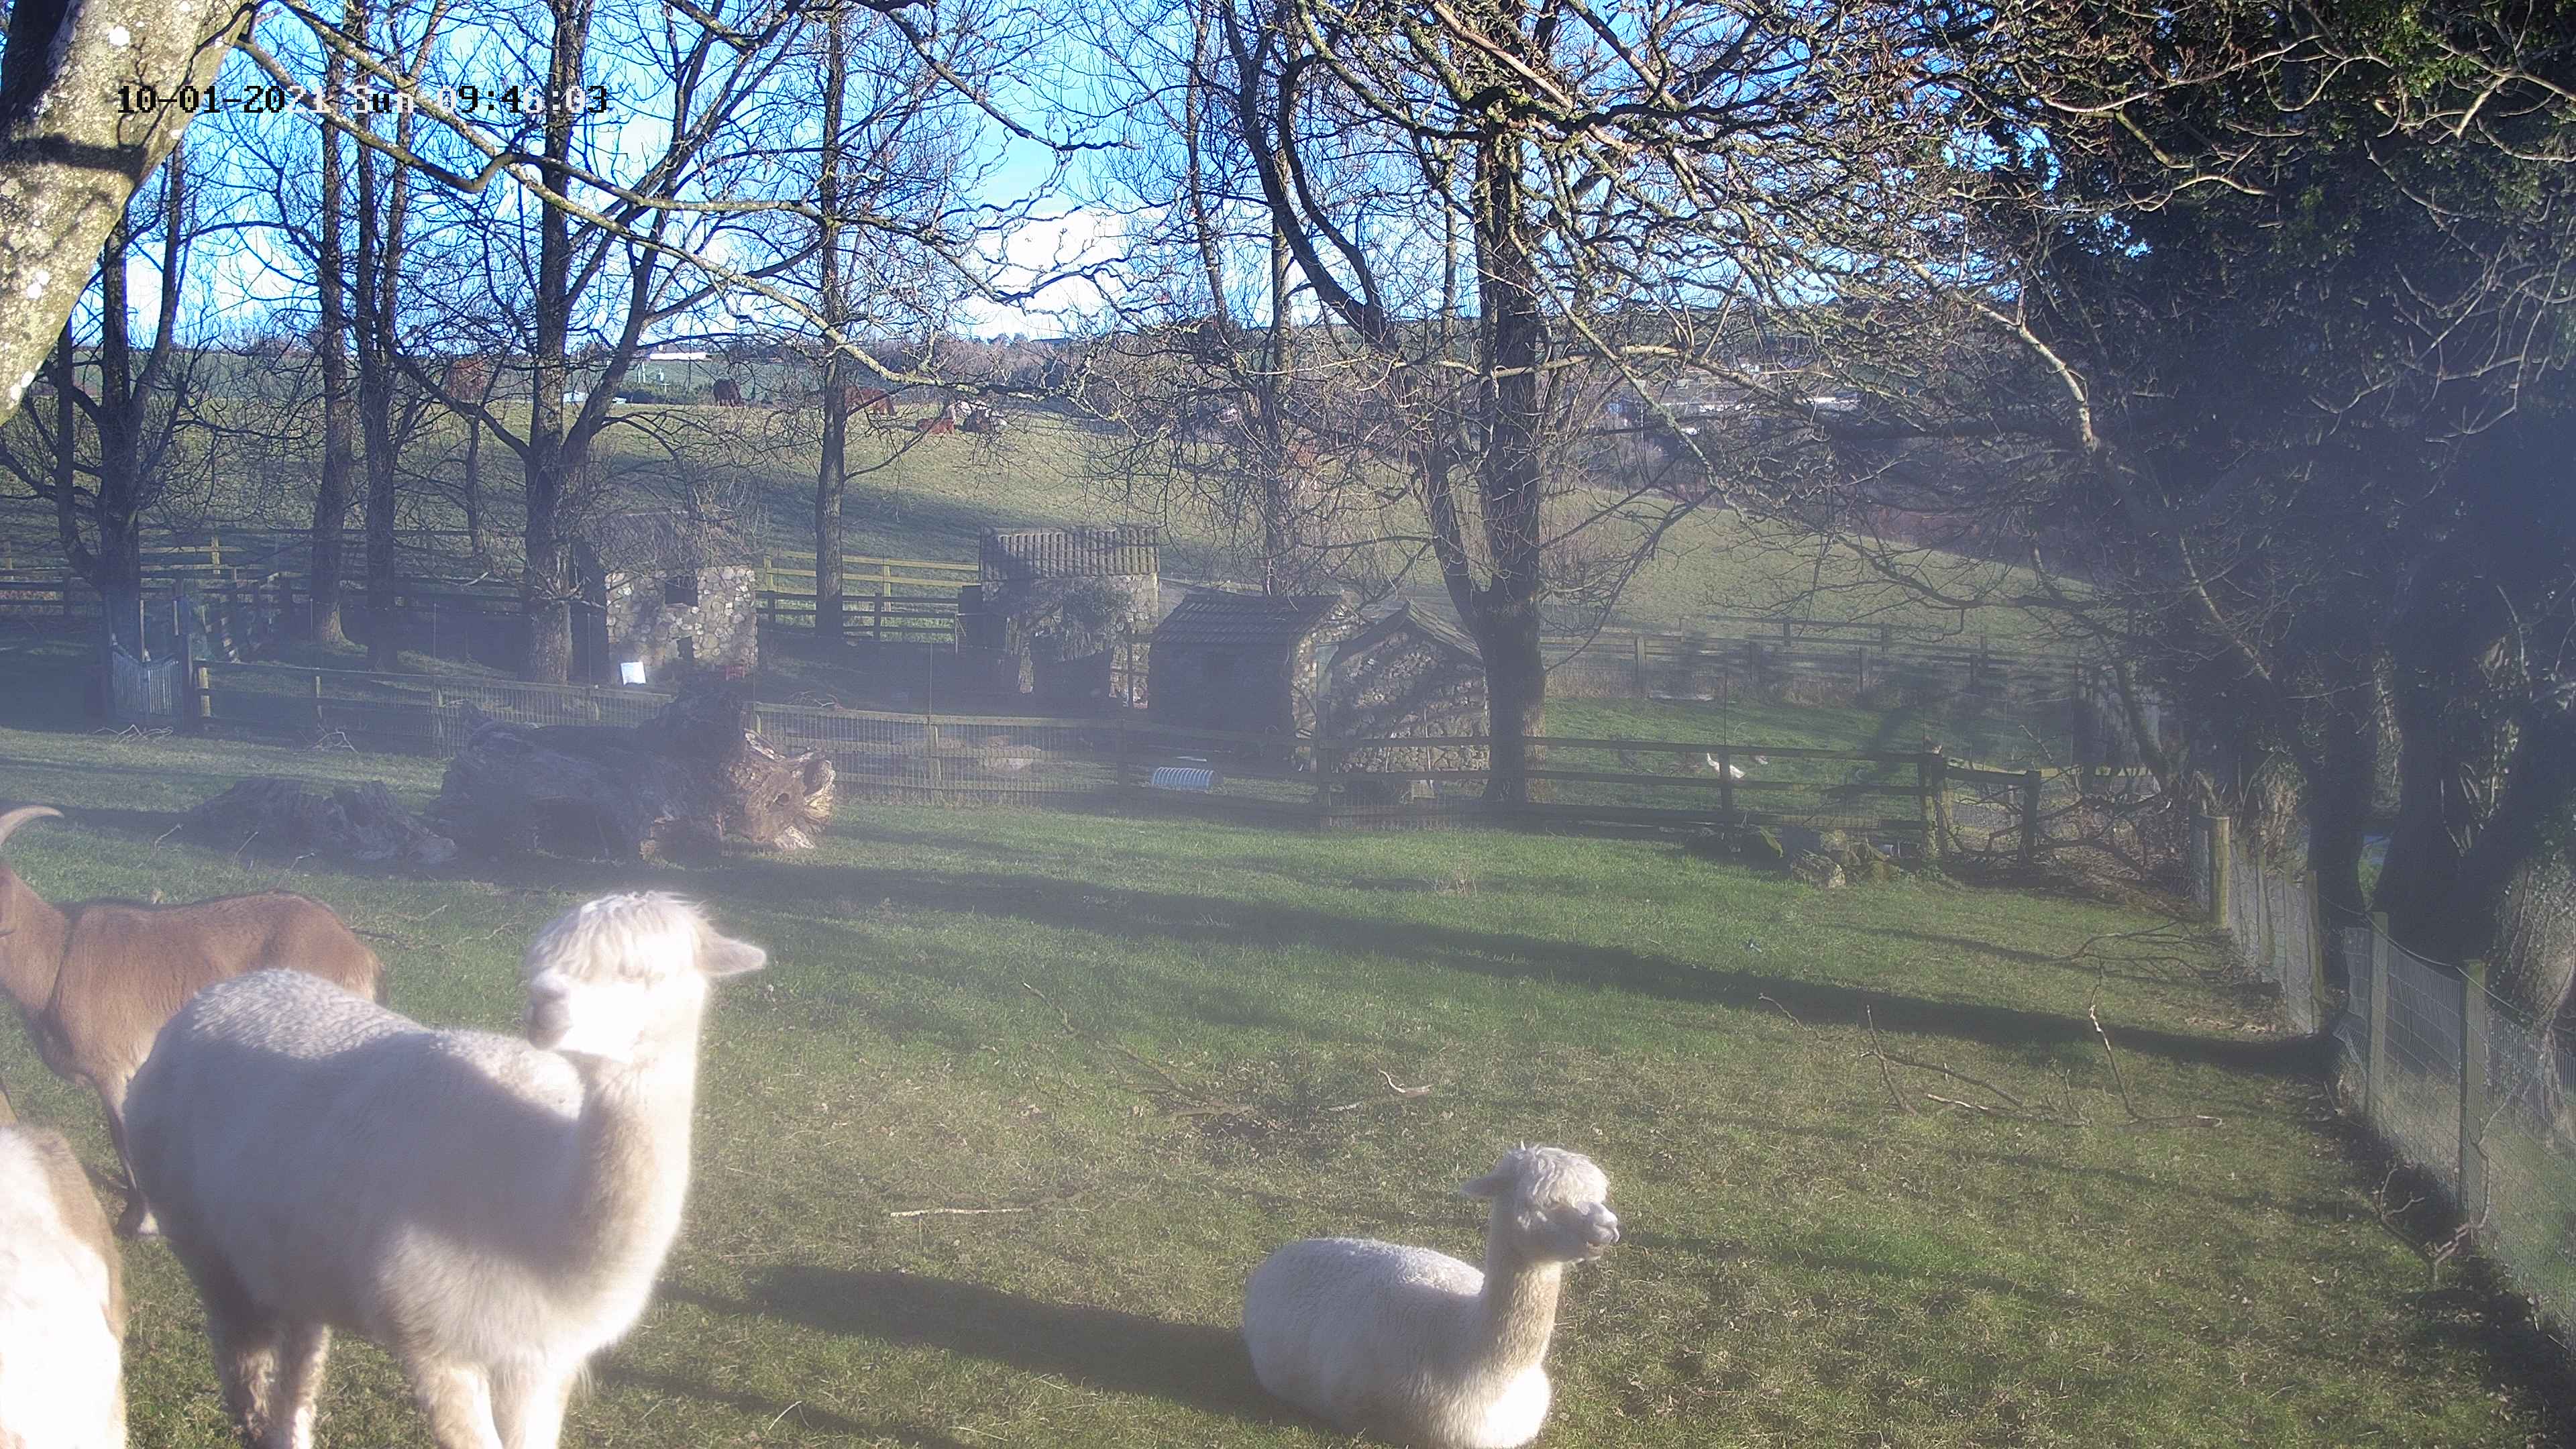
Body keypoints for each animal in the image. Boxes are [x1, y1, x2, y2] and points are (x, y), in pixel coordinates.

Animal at [126, 891, 764, 1449]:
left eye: (640, 972)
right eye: (538, 966)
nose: (543, 1006)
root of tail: (219, 995)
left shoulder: (539, 1357)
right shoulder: (437, 1342)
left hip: (297, 1256)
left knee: (296, 1372)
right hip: (201, 1234)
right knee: (242, 1368)